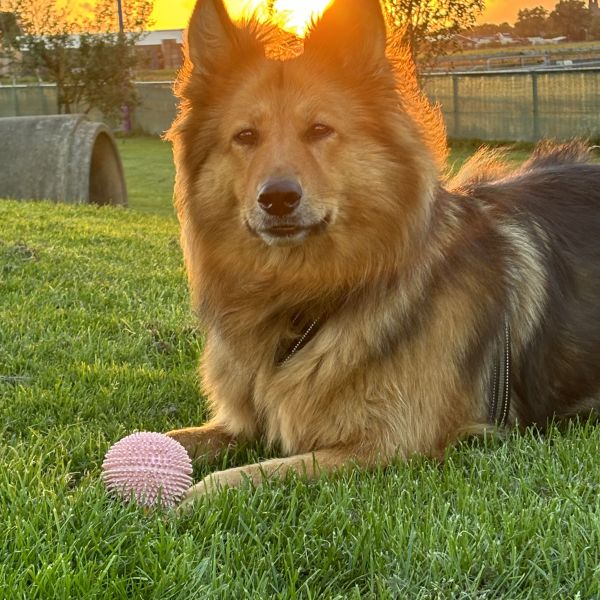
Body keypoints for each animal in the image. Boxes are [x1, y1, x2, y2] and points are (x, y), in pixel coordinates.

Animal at [165, 0, 600, 504]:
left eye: (319, 130)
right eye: (246, 136)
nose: (277, 199)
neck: (312, 300)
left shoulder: (388, 445)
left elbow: (249, 476)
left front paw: (187, 498)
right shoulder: (241, 422)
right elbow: (165, 439)